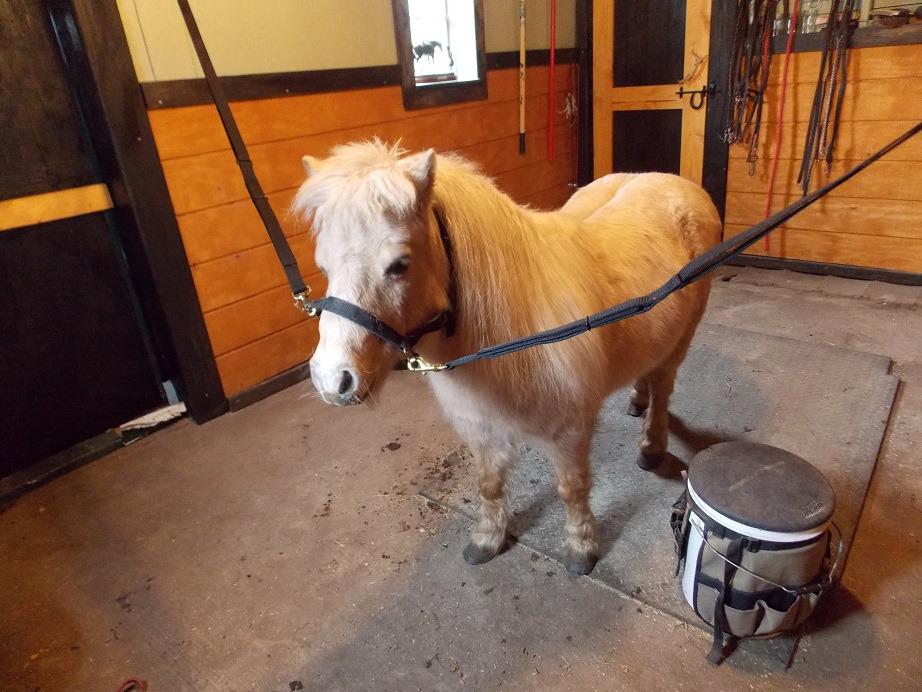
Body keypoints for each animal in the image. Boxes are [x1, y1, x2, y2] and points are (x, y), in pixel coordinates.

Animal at [293, 141, 722, 575]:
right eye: (324, 266)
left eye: (399, 265)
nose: (332, 380)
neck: (513, 335)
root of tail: (675, 183)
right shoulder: (479, 426)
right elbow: (489, 484)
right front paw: (488, 539)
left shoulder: (569, 432)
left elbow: (572, 489)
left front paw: (581, 548)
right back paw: (637, 398)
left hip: (683, 338)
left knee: (664, 386)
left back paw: (651, 445)